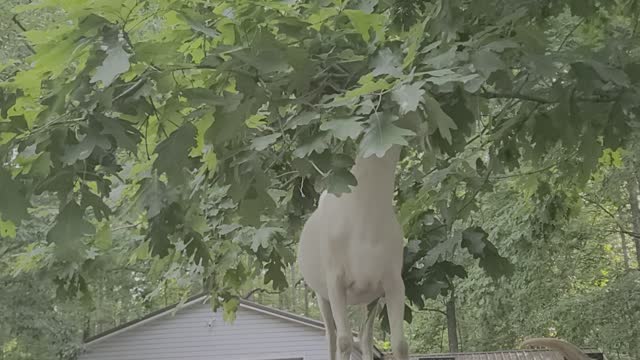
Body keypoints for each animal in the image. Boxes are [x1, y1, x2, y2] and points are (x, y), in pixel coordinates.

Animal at [298, 144, 408, 360]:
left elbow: (399, 343)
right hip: (322, 295)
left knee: (365, 337)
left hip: (366, 297)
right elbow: (344, 341)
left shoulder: (392, 283)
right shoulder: (335, 281)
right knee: (331, 336)